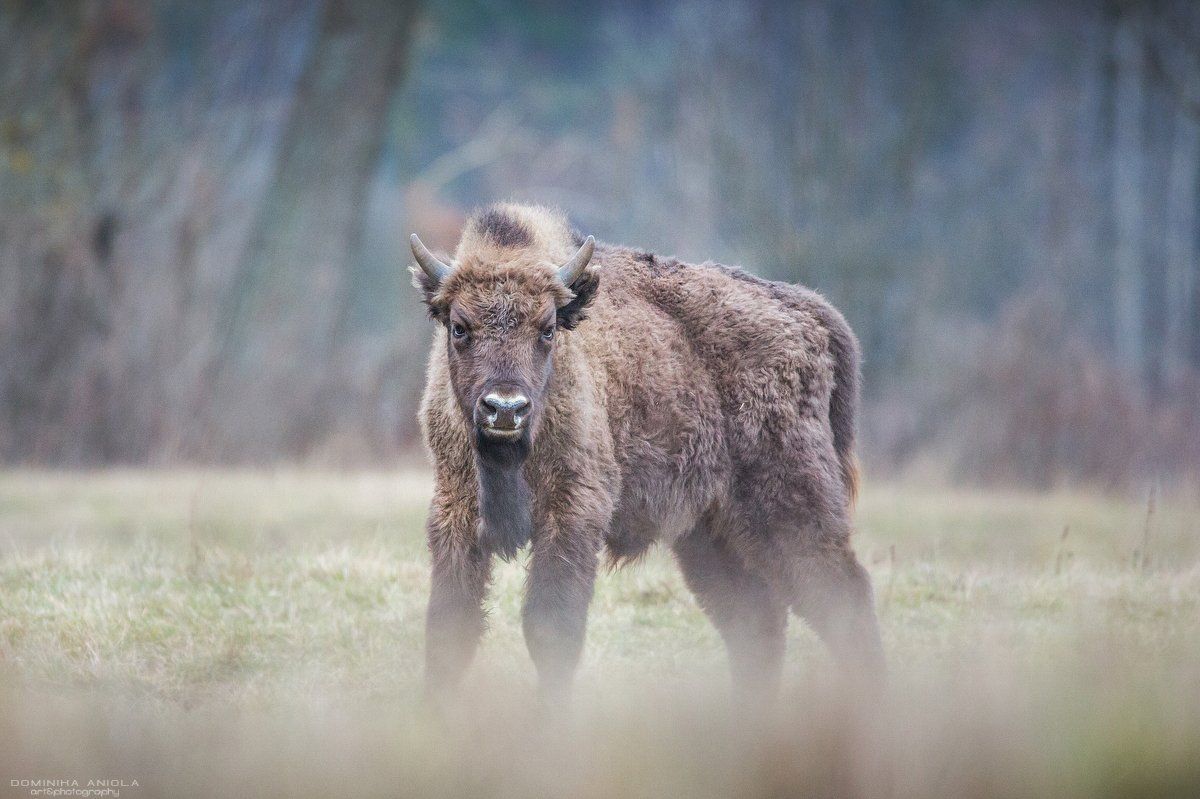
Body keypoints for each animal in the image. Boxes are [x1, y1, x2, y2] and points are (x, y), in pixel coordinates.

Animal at [411, 203, 884, 703]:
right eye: (459, 327)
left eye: (547, 329)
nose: (505, 408)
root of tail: (807, 312)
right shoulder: (455, 513)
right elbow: (449, 630)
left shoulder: (574, 511)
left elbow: (550, 629)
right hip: (707, 536)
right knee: (755, 623)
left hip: (792, 510)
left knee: (844, 600)